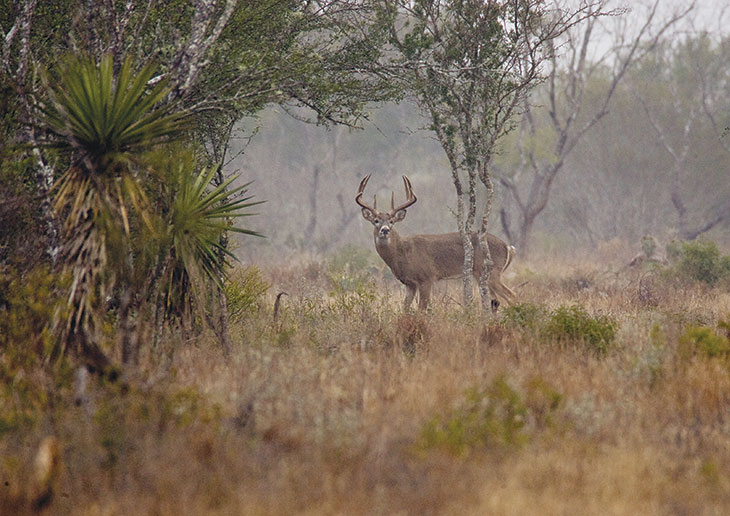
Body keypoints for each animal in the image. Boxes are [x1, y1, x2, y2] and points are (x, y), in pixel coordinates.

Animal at [356, 173, 516, 310]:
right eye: (376, 221)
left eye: (391, 221)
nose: (385, 230)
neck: (403, 253)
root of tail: (507, 247)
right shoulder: (409, 284)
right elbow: (405, 308)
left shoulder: (427, 277)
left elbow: (422, 309)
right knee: (496, 301)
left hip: (490, 270)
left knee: (511, 295)